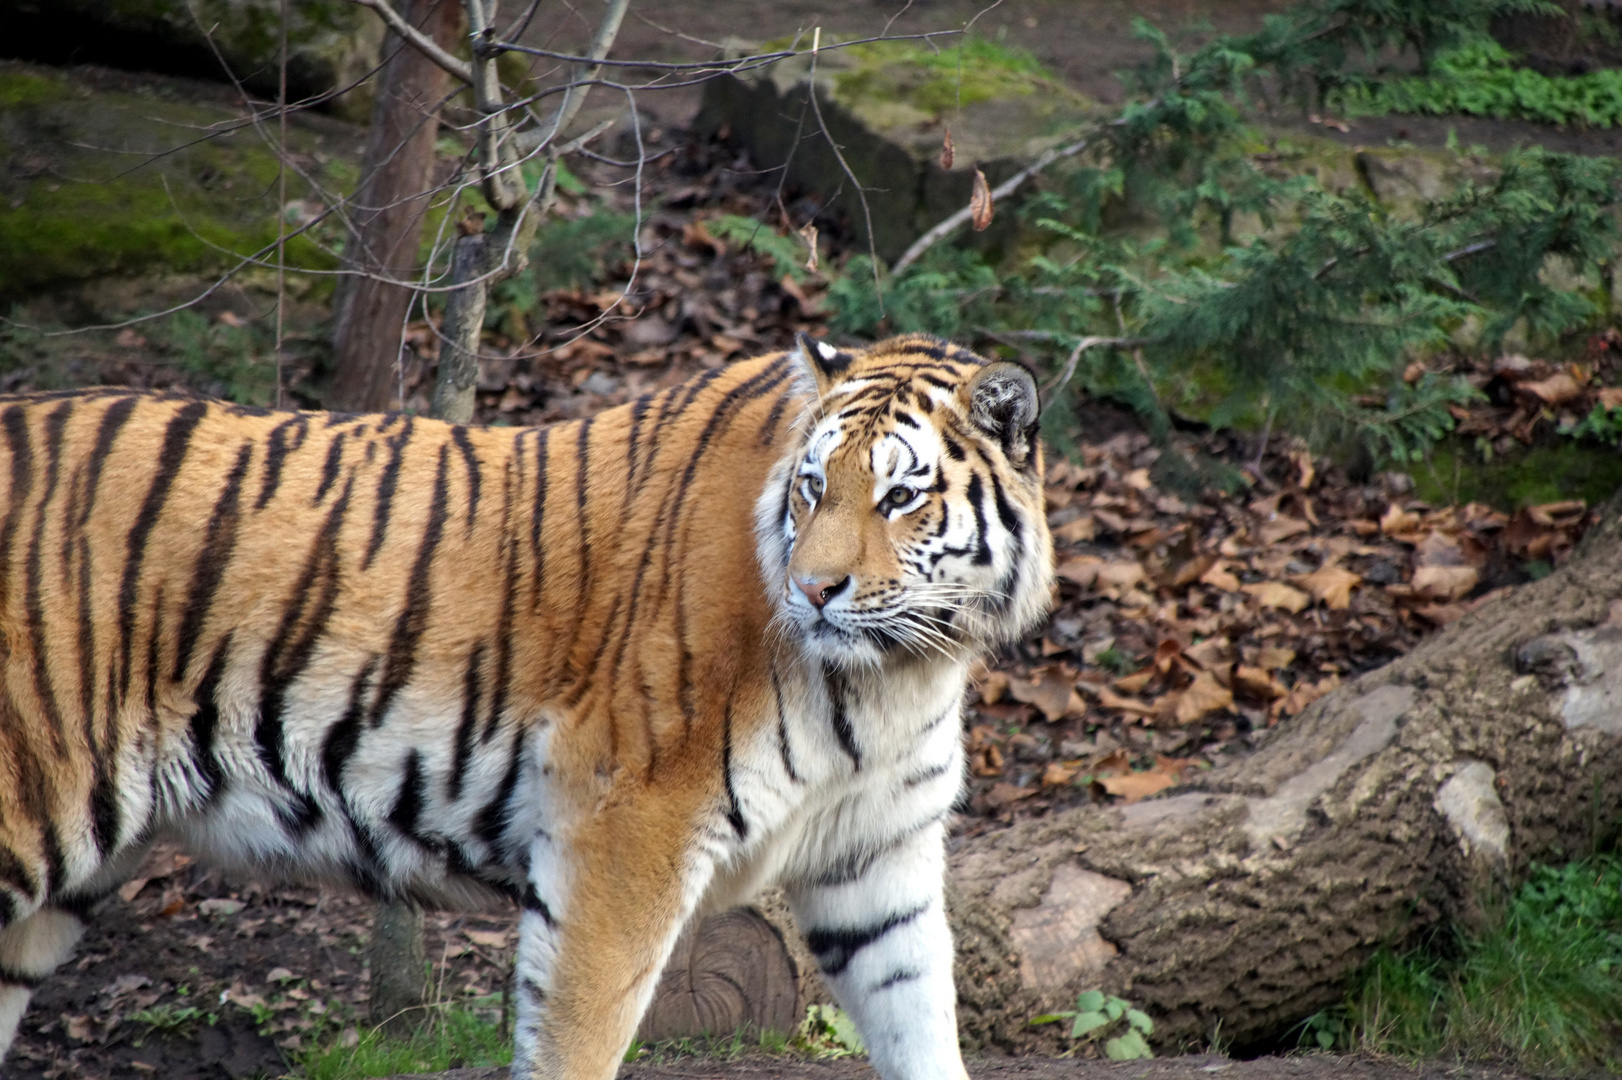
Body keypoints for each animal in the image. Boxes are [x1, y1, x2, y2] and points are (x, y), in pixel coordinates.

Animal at [0, 332, 1051, 1070]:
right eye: (812, 487)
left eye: (900, 498)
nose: (815, 590)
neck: (895, 678)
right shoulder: (621, 839)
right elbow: (576, 1039)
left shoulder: (877, 861)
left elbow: (925, 1026)